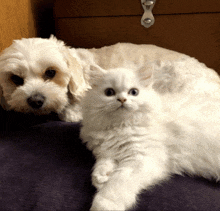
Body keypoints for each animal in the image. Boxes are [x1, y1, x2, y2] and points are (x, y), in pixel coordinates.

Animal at [80, 65, 220, 210]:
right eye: (109, 92)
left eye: (134, 92)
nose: (122, 100)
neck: (120, 126)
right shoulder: (107, 152)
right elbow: (103, 163)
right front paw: (101, 177)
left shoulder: (141, 159)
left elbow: (116, 185)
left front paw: (103, 205)